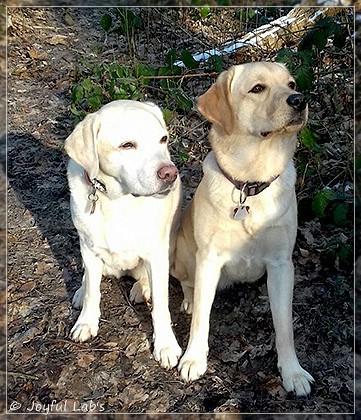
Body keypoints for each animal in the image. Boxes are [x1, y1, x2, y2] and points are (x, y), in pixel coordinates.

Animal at [64, 100, 181, 370]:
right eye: (127, 145)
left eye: (163, 139)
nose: (170, 173)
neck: (118, 201)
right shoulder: (88, 249)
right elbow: (93, 292)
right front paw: (86, 322)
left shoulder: (156, 253)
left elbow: (161, 306)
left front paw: (165, 345)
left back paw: (142, 288)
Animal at [173, 61, 314, 394]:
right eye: (257, 88)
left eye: (291, 83)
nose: (299, 100)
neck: (251, 184)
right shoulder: (208, 260)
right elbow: (201, 318)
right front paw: (193, 359)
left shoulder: (281, 265)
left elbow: (284, 326)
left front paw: (292, 372)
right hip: (184, 253)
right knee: (187, 285)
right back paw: (188, 299)